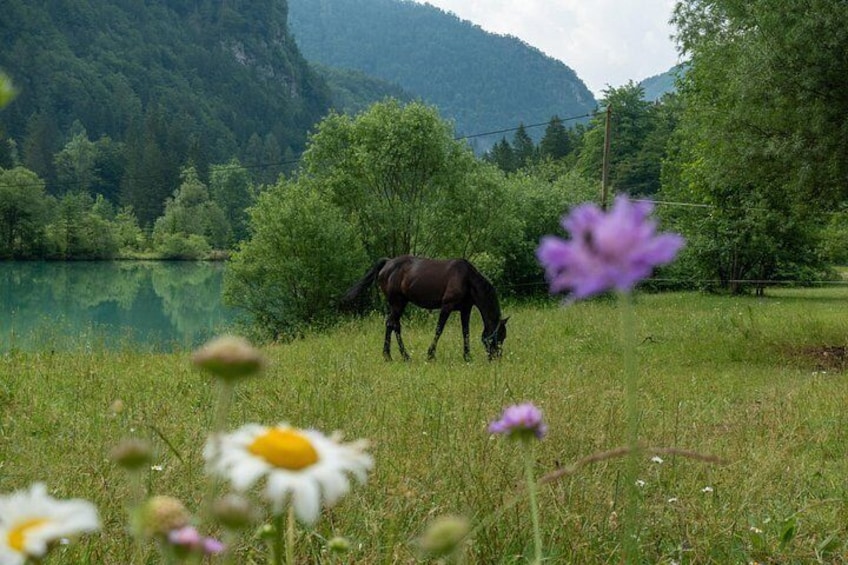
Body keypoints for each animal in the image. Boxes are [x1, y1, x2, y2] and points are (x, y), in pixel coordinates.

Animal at [342, 255, 508, 361]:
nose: (496, 357)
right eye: (499, 336)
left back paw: (396, 355)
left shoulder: (465, 309)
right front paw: (430, 354)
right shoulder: (446, 307)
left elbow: (465, 332)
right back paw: (396, 356)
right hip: (397, 303)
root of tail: (388, 263)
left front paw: (467, 356)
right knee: (392, 324)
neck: (466, 279)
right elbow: (439, 329)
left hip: (399, 303)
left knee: (393, 325)